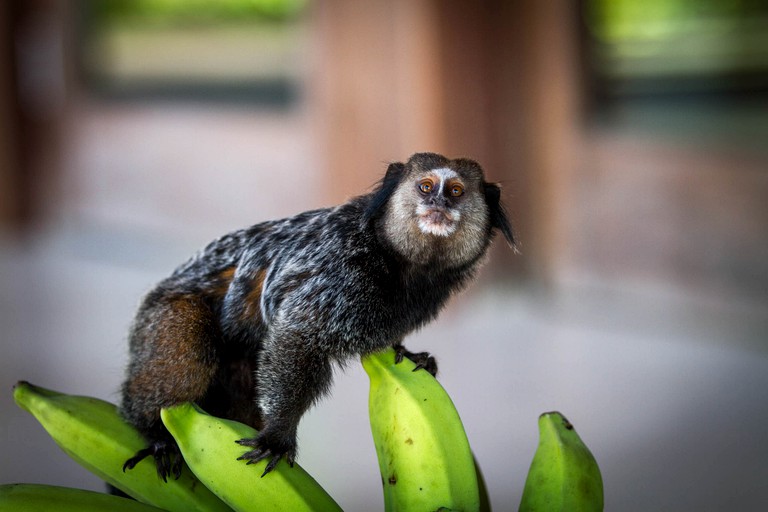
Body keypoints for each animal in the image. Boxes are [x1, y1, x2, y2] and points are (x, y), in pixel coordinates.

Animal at [120, 152, 516, 480]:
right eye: (426, 187)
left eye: (456, 191)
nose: (438, 203)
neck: (400, 263)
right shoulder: (339, 271)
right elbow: (297, 338)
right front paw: (278, 434)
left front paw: (405, 351)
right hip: (164, 311)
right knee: (186, 357)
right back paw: (157, 434)